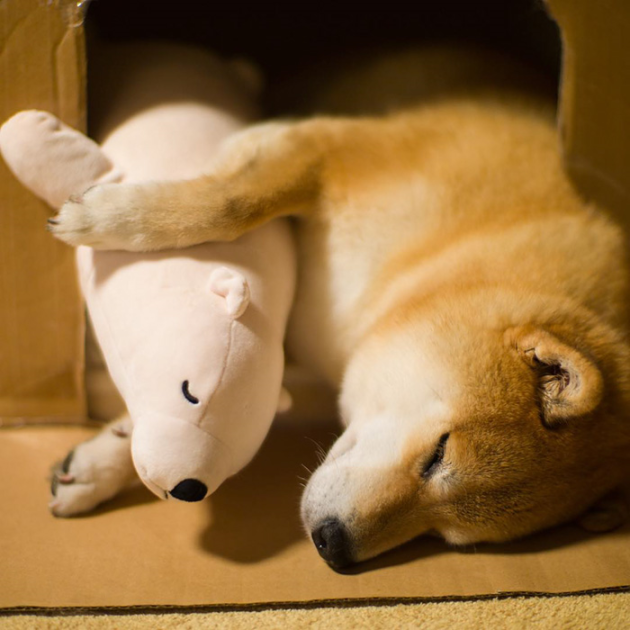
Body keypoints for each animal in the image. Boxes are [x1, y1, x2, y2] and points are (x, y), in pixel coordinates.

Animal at [49, 49, 630, 572]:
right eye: (438, 454)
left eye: (445, 535)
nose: (334, 546)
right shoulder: (331, 148)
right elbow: (233, 202)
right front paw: (113, 217)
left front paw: (107, 459)